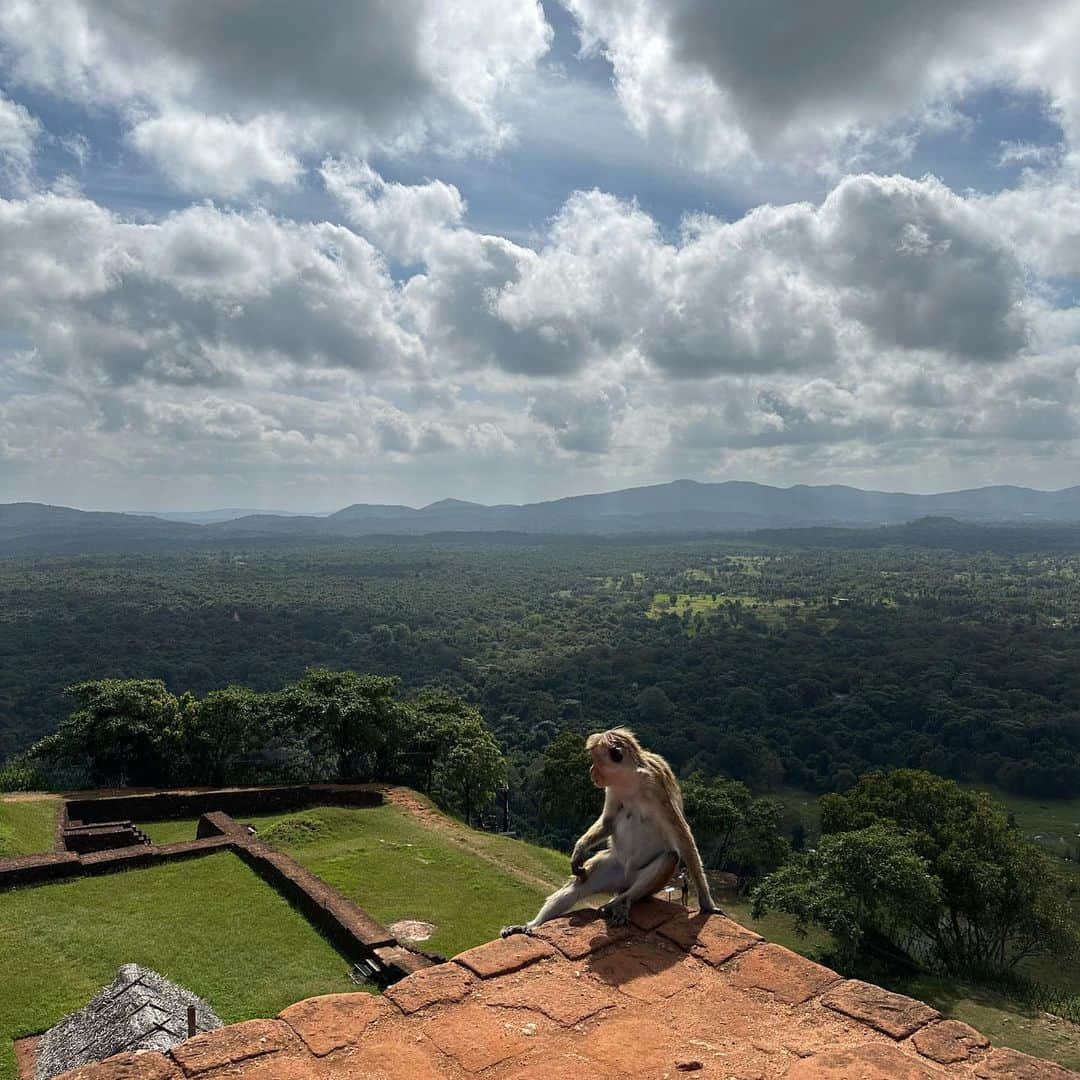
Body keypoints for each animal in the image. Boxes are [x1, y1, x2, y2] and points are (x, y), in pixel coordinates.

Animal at [503, 730, 725, 941]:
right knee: (580, 884)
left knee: (669, 858)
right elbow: (608, 822)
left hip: (639, 881)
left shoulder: (656, 786)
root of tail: (625, 881)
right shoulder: (612, 788)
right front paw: (579, 849)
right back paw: (530, 926)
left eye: (595, 761)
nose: (591, 771)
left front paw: (707, 904)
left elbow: (683, 836)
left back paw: (620, 902)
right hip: (612, 869)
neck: (630, 780)